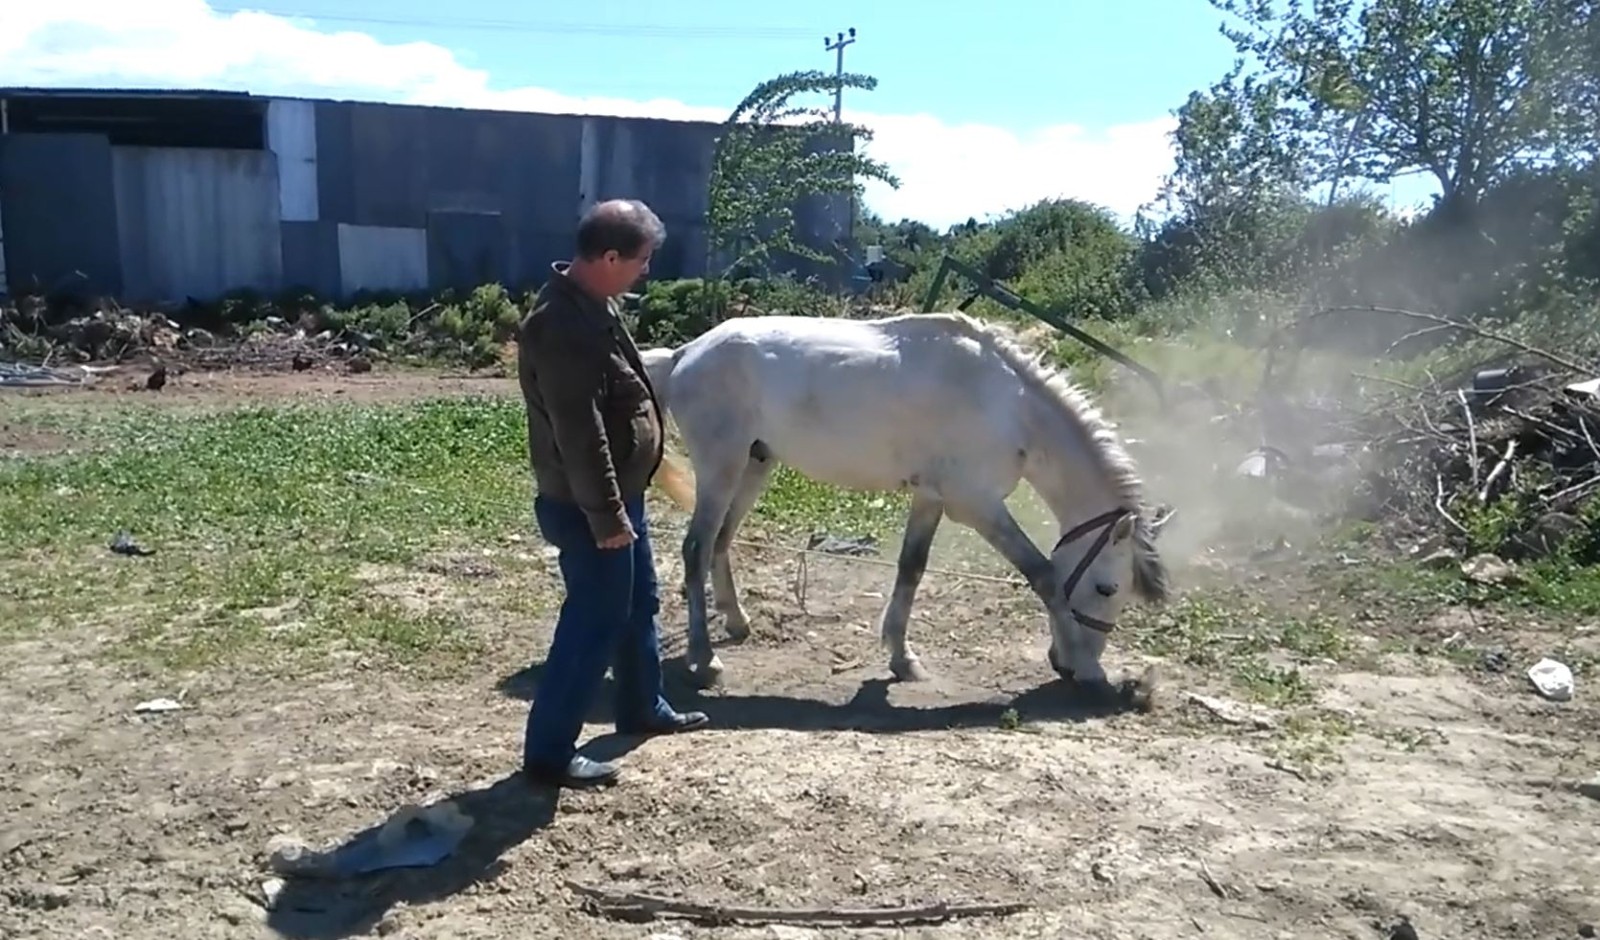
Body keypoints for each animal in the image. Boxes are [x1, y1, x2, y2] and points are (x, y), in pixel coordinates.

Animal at [640, 311, 1177, 693]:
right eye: (1108, 588)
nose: (1065, 664)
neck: (1008, 406)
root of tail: (685, 353)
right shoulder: (977, 504)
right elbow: (1043, 574)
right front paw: (1088, 670)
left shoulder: (930, 498)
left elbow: (911, 569)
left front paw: (902, 658)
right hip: (722, 468)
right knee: (695, 549)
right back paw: (705, 660)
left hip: (754, 465)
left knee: (721, 542)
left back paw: (736, 622)